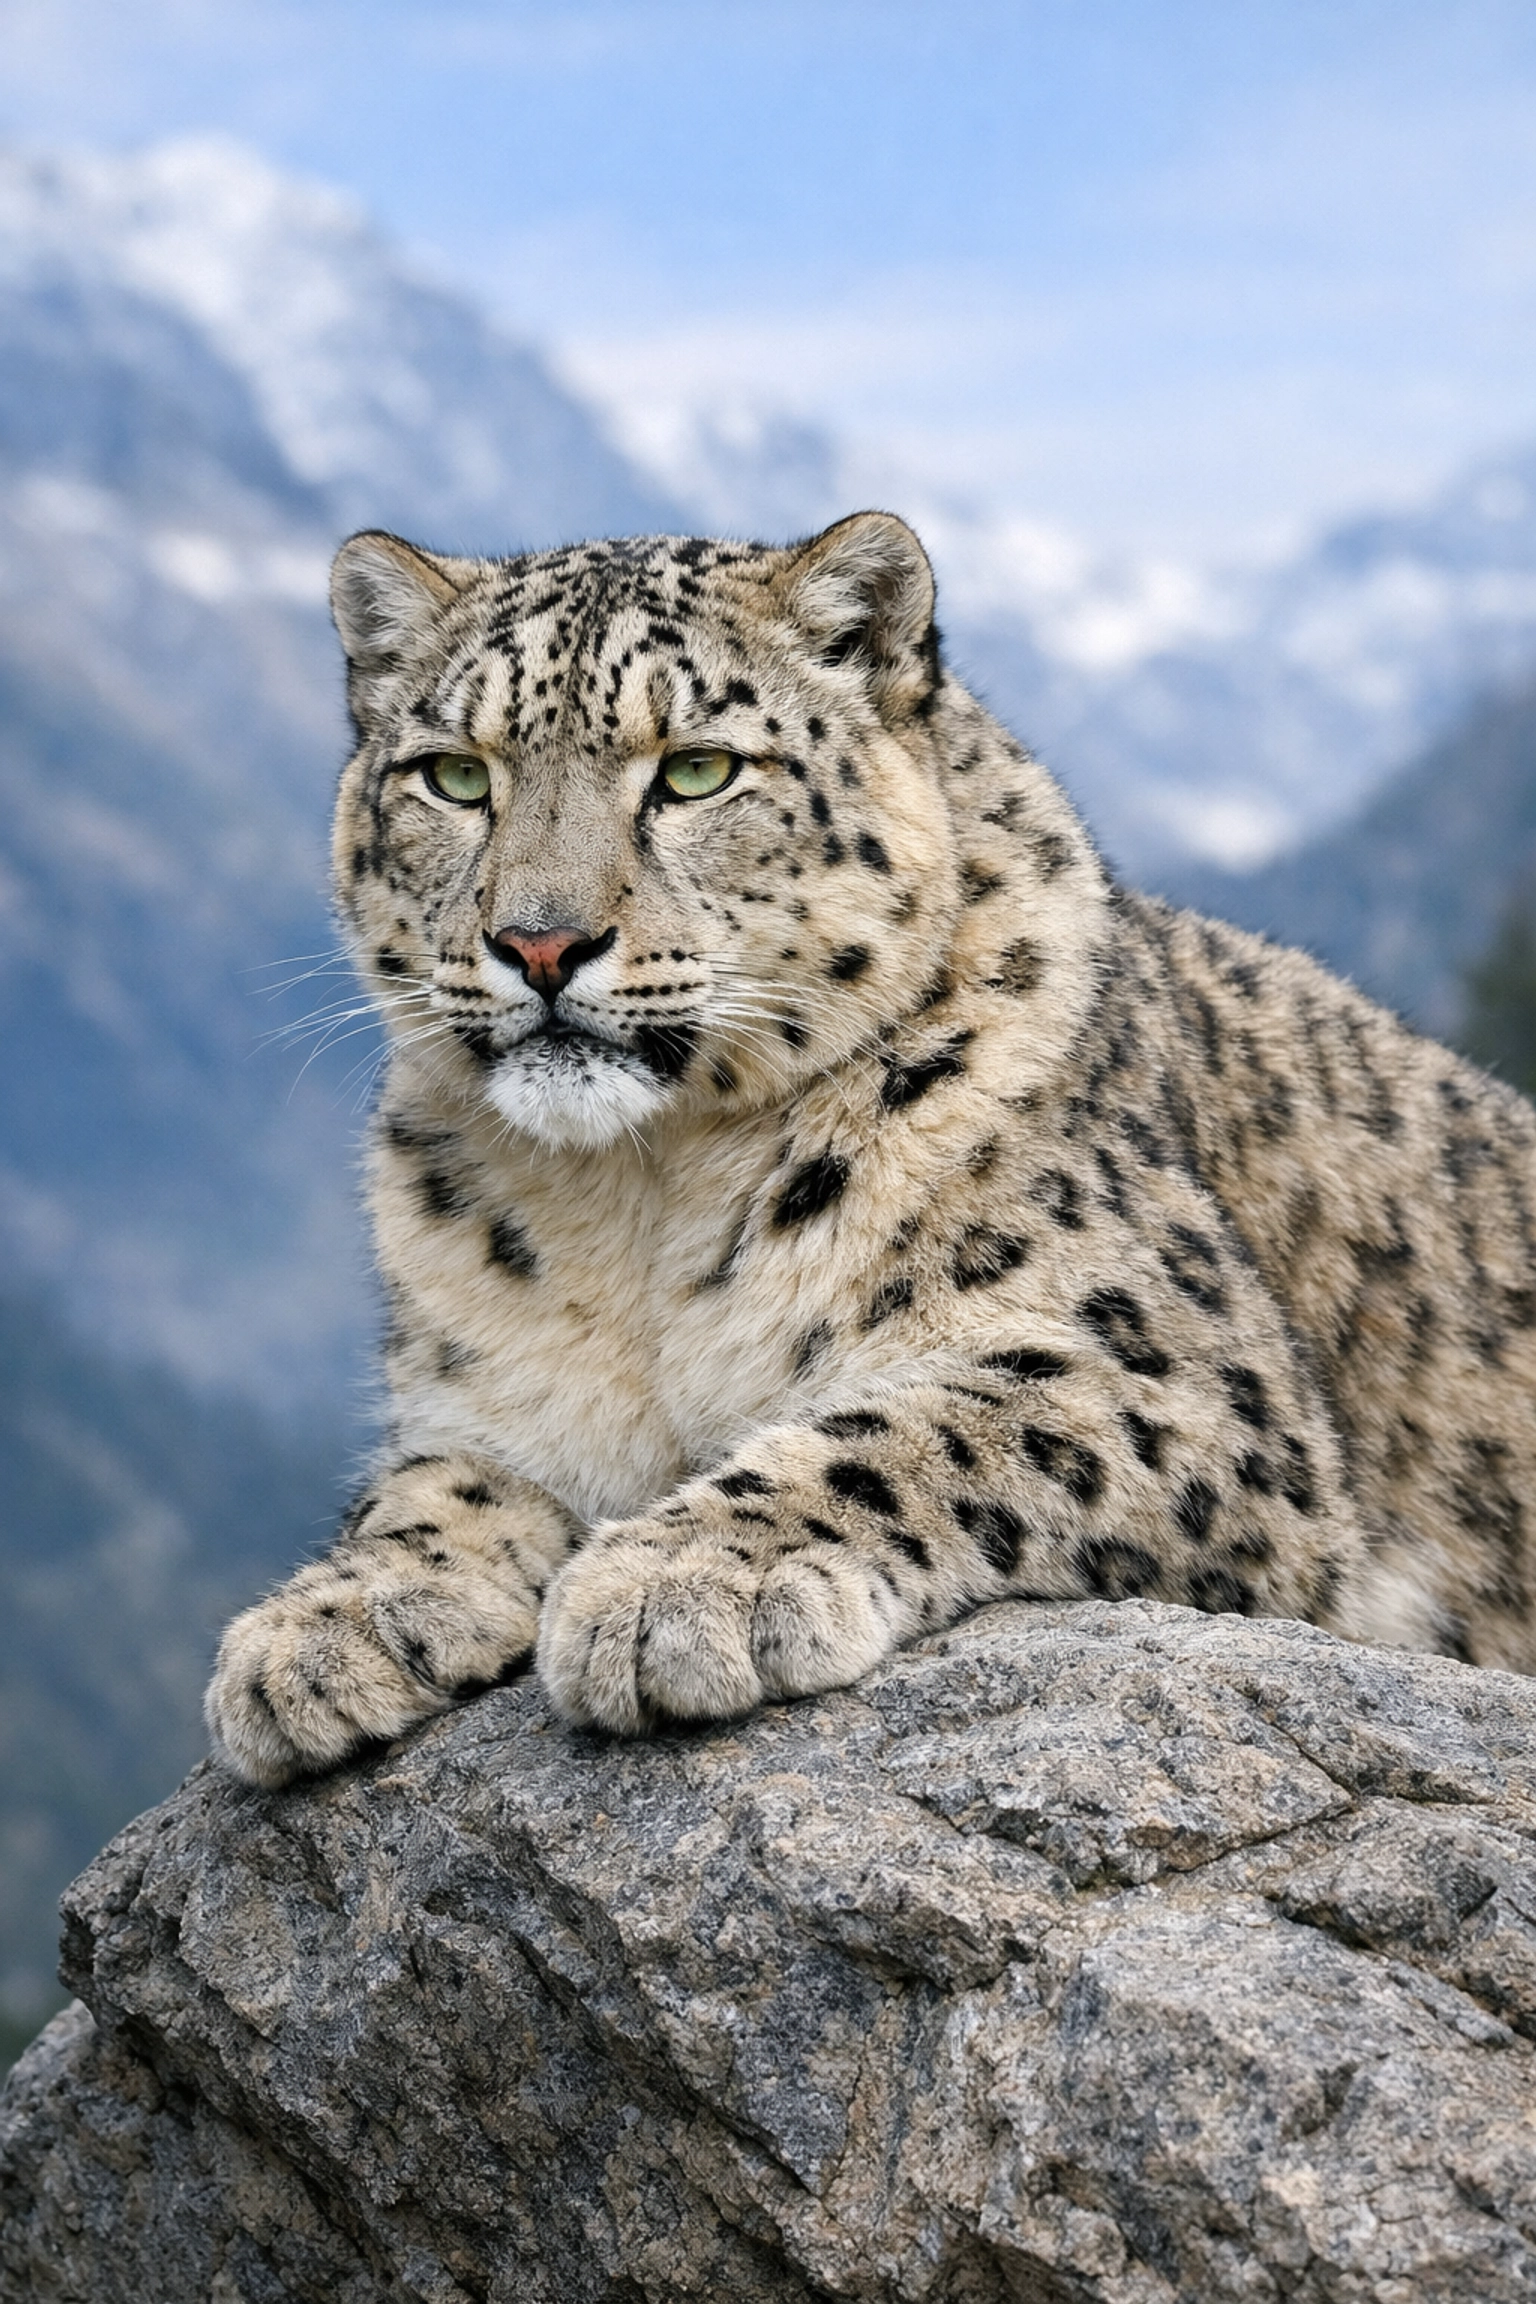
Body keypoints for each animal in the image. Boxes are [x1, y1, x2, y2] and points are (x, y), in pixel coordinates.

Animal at [205, 510, 1536, 1788]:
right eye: (454, 776)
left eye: (696, 770)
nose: (539, 943)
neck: (637, 1206)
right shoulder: (479, 1404)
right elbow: (428, 1489)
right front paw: (321, 1630)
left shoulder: (1179, 1381)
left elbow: (914, 1428)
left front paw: (679, 1585)